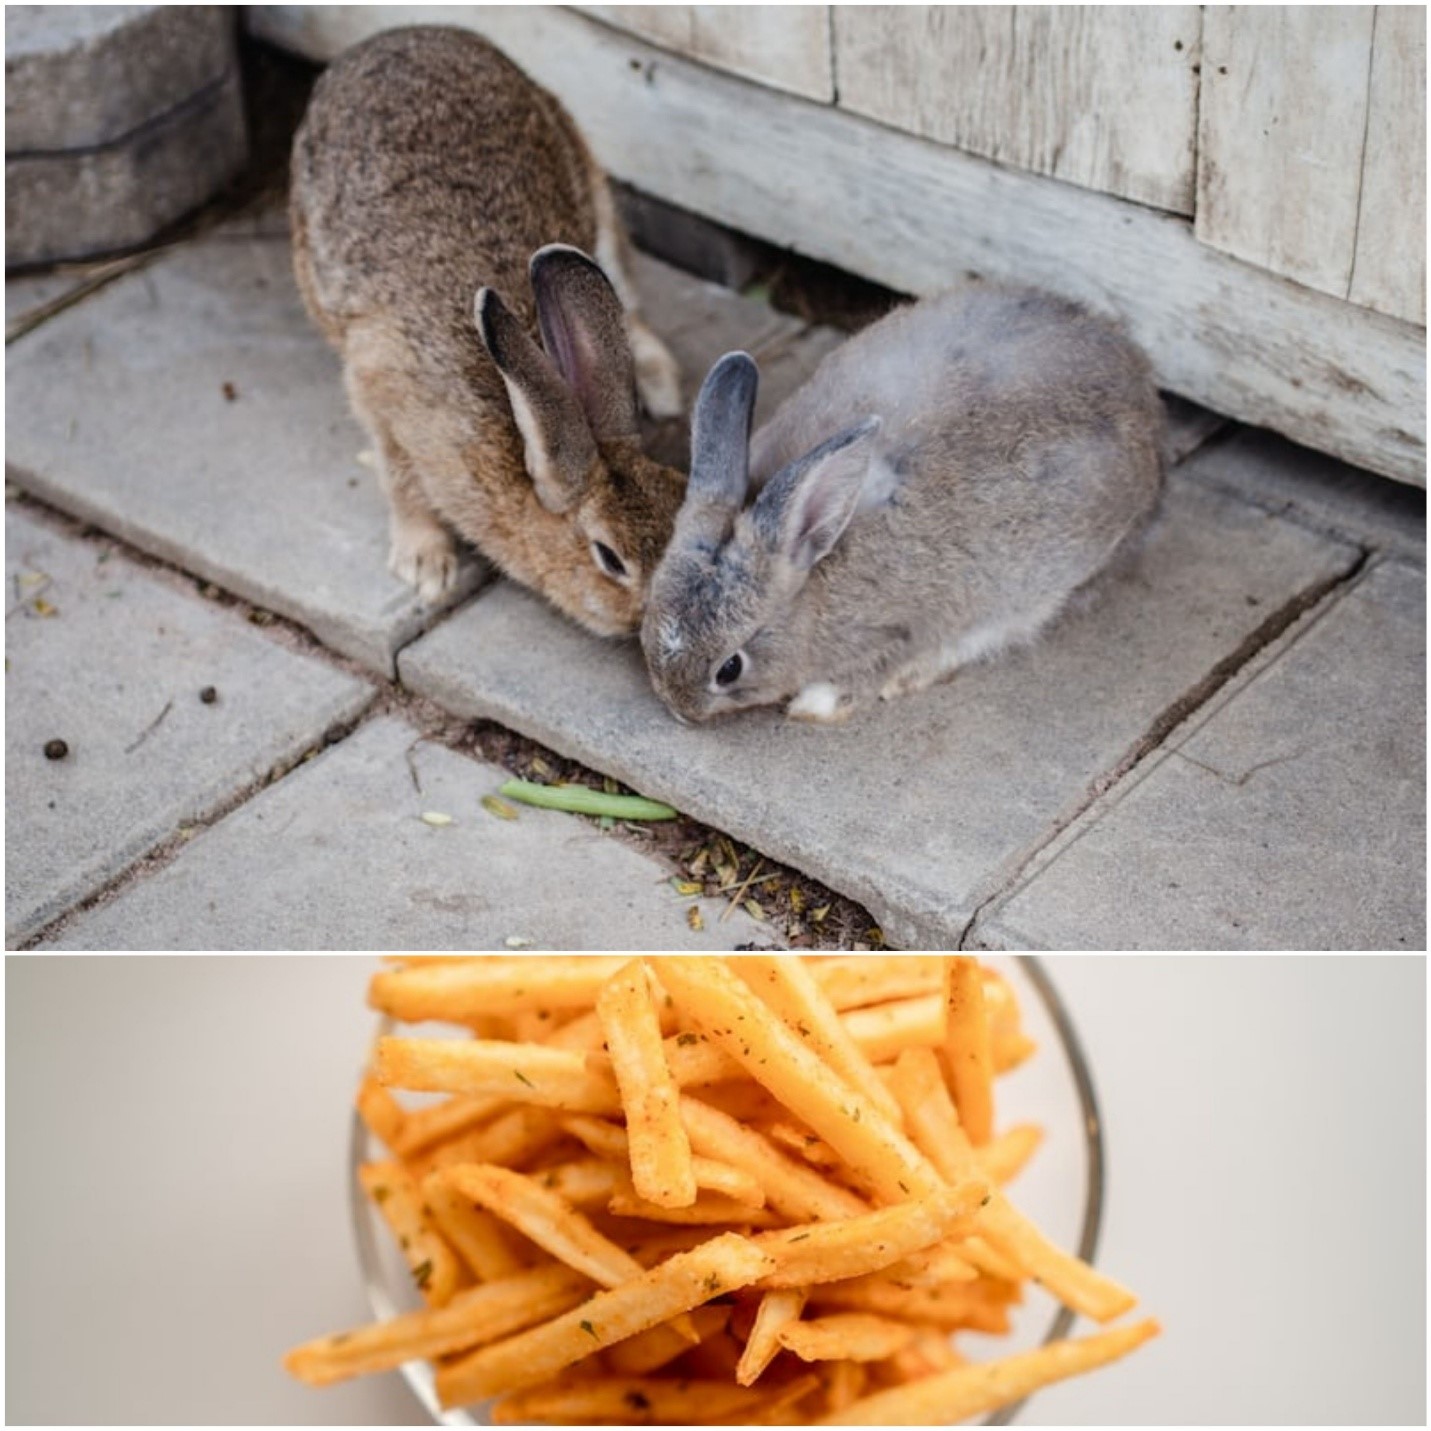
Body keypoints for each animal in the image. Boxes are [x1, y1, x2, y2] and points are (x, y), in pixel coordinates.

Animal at [289, 25, 685, 635]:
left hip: (588, 182)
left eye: (678, 512)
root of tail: (399, 36)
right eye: (610, 558)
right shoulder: (378, 382)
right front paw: (426, 565)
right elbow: (399, 474)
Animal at [641, 283, 1163, 723]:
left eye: (730, 667)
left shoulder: (902, 628)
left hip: (1035, 586)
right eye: (648, 612)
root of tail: (1139, 383)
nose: (678, 709)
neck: (814, 576)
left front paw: (817, 704)